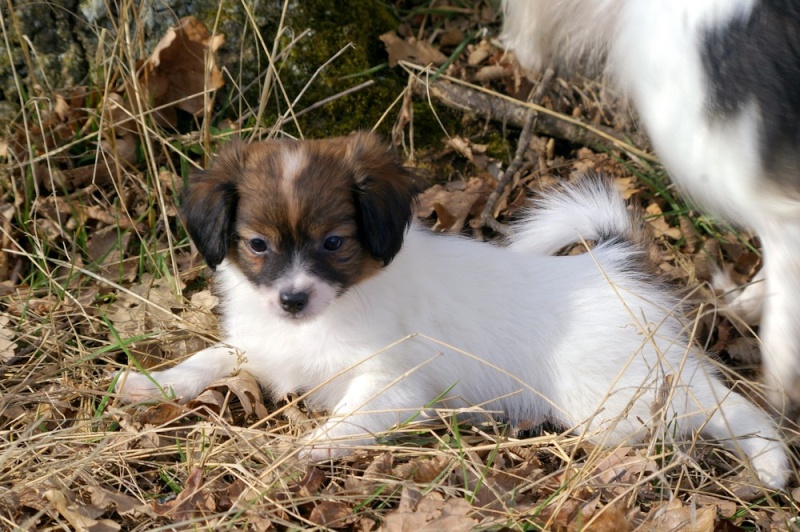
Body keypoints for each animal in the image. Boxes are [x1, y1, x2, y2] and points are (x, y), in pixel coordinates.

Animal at [114, 134, 788, 490]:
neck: (330, 311)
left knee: (721, 402)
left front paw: (295, 453)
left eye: (333, 243)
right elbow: (208, 358)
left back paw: (772, 460)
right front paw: (153, 384)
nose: (292, 299)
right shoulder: (263, 348)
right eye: (257, 245)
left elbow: (344, 423)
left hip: (613, 400)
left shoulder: (394, 384)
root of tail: (615, 266)